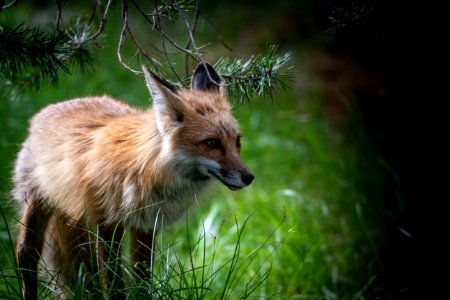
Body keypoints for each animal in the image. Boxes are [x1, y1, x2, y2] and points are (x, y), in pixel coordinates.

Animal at [13, 62, 253, 298]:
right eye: (212, 143)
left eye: (237, 141)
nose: (249, 178)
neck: (144, 169)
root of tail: (46, 111)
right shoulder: (106, 222)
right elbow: (114, 284)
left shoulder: (146, 225)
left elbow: (142, 282)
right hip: (38, 205)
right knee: (25, 255)